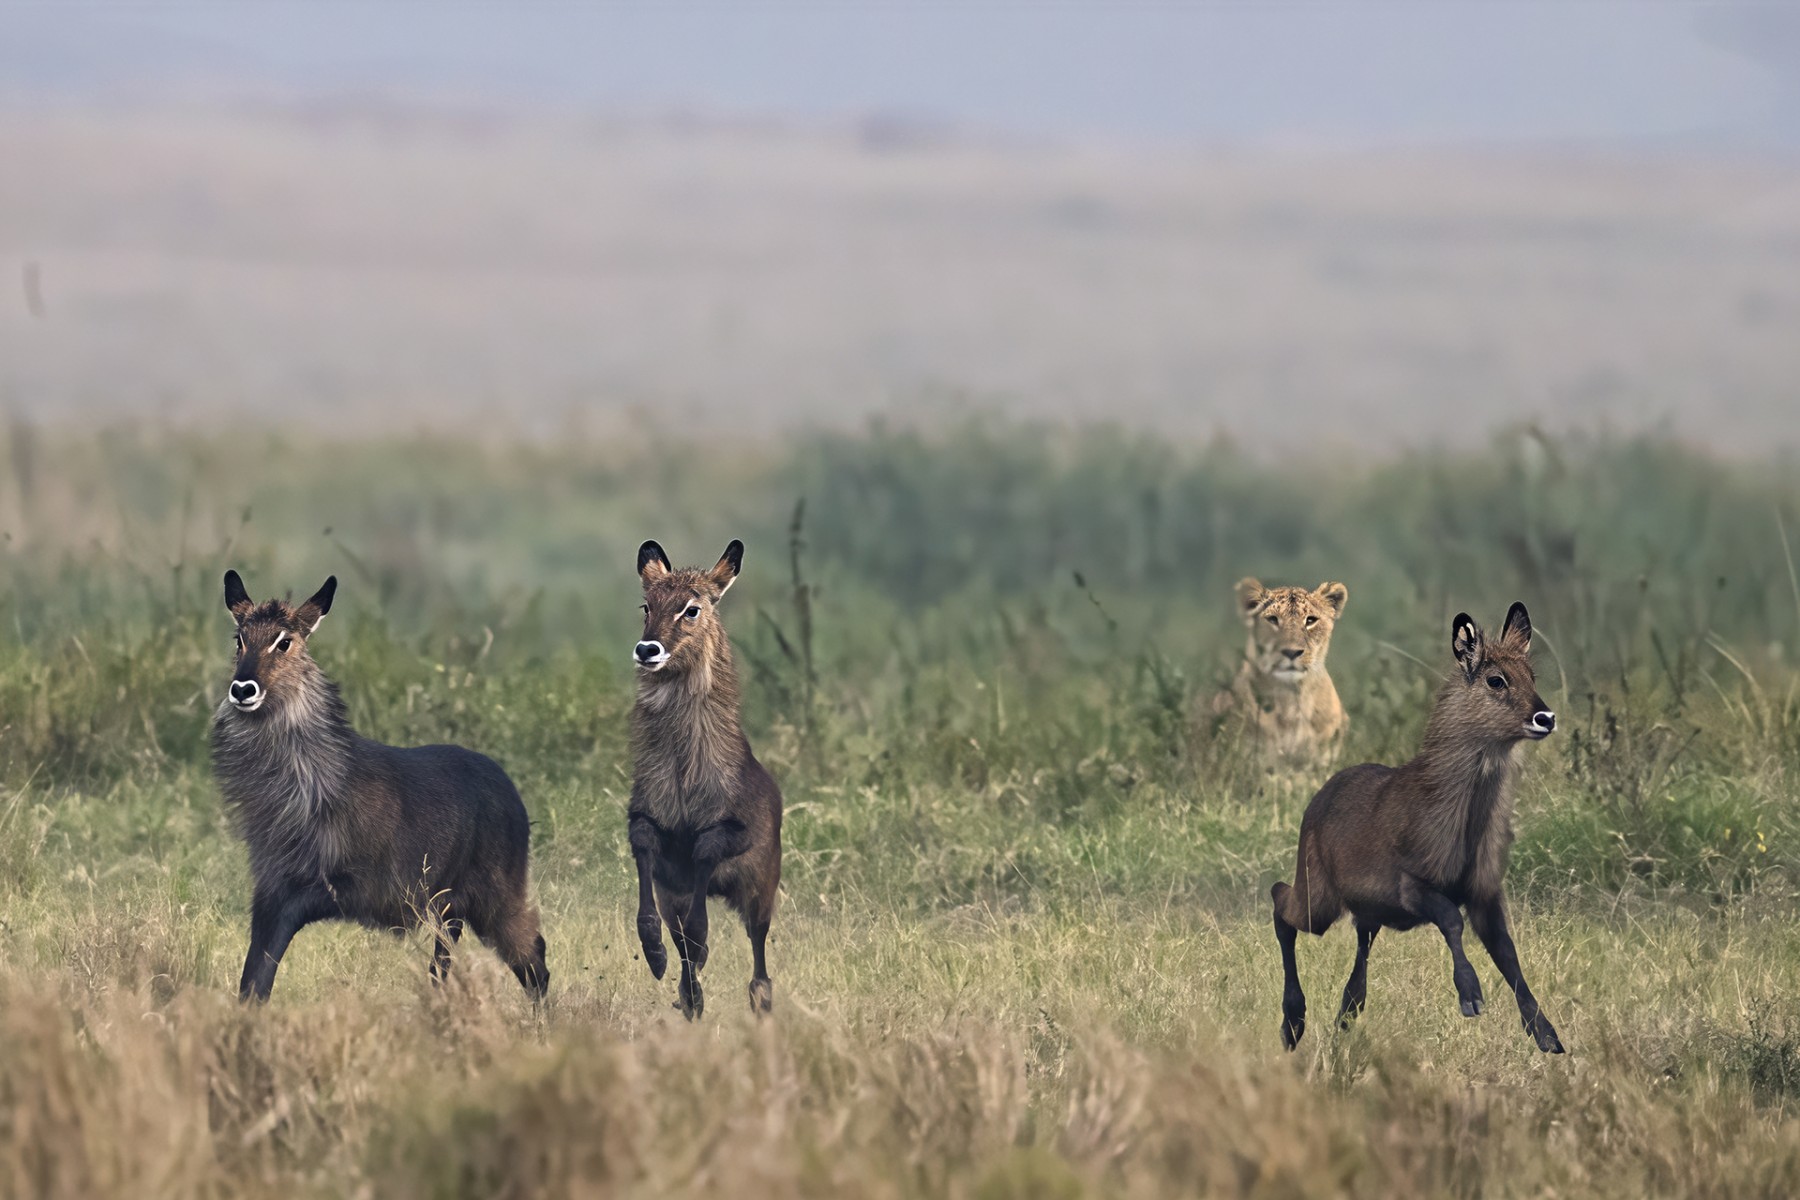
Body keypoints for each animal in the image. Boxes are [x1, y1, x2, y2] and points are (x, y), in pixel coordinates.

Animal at [212, 570, 548, 1002]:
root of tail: (515, 797)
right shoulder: (269, 887)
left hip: (495, 896)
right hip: (452, 905)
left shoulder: (349, 886)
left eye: (284, 641)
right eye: (239, 638)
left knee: (535, 958)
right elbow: (254, 978)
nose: (243, 688)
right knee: (447, 960)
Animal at [629, 539, 783, 1019]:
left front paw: (696, 954)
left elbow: (704, 853)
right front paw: (654, 952)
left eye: (691, 609)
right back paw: (688, 990)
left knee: (759, 964)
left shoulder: (731, 831)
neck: (683, 771)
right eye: (646, 604)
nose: (647, 649)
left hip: (761, 887)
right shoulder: (647, 825)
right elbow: (646, 849)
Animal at [1271, 602, 1563, 1053]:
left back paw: (1339, 1020)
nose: (1545, 717)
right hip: (1318, 897)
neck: (1459, 825)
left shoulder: (1484, 890)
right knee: (1279, 901)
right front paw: (1470, 995)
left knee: (1357, 968)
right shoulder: (1410, 884)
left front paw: (1546, 1033)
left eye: (1533, 676)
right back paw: (1292, 1022)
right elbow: (1451, 919)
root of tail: (1316, 800)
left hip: (1366, 912)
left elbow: (1508, 952)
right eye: (1496, 679)